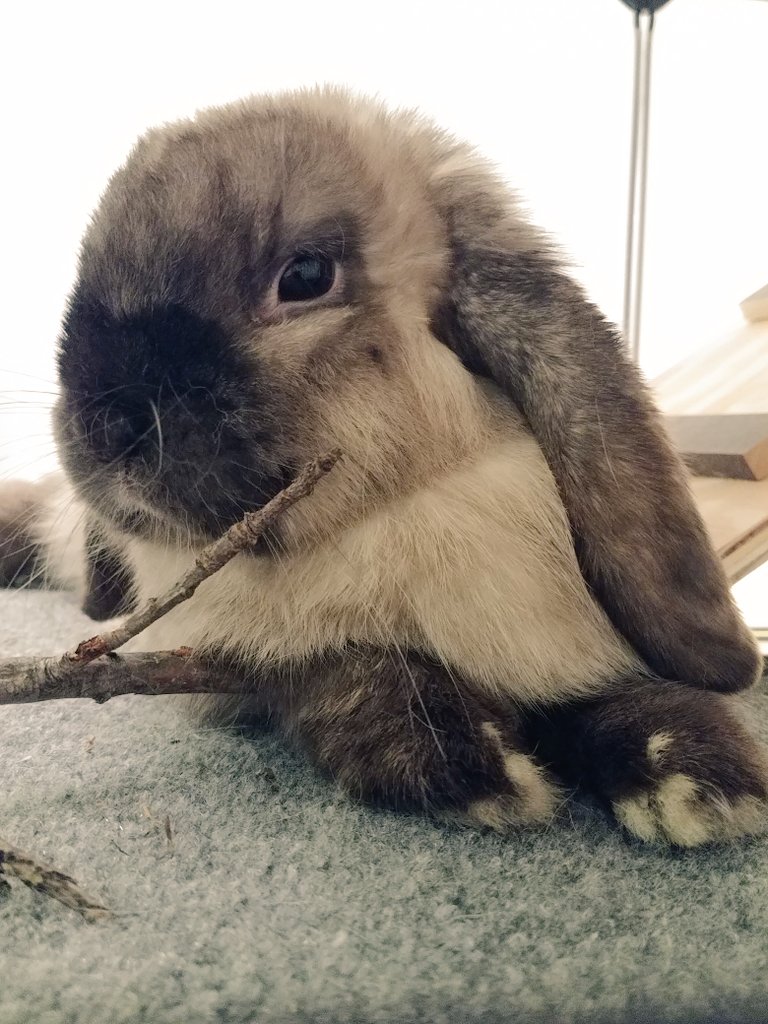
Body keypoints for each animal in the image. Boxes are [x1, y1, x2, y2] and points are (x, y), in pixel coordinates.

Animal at [1, 86, 765, 847]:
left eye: (306, 276)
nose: (108, 424)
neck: (398, 511)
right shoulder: (246, 662)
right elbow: (350, 677)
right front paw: (475, 770)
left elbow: (608, 693)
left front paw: (700, 779)